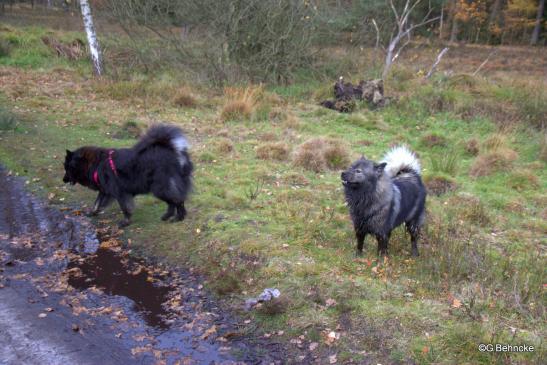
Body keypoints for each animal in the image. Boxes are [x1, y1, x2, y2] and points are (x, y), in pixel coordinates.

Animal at [63, 123, 193, 225]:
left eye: (67, 168)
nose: (63, 180)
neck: (96, 164)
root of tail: (172, 150)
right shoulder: (105, 191)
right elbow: (97, 204)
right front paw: (92, 213)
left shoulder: (120, 192)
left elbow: (125, 208)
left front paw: (125, 222)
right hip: (163, 188)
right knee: (174, 202)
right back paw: (170, 216)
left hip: (160, 188)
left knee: (177, 200)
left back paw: (177, 217)